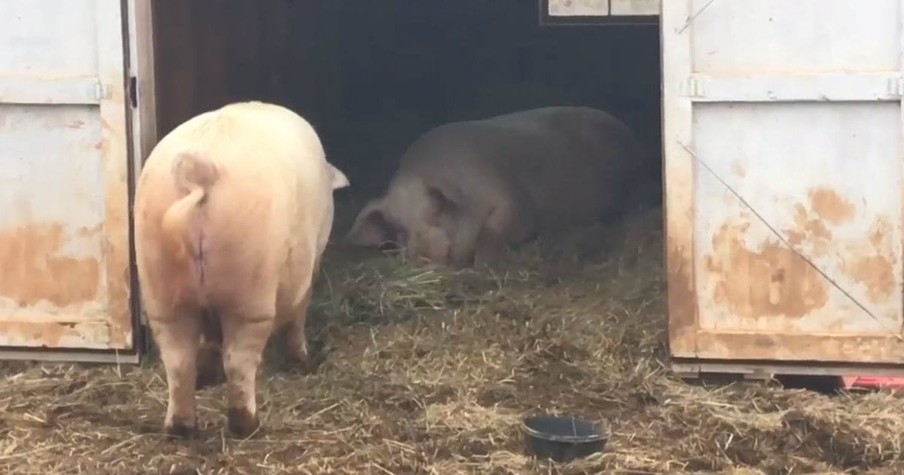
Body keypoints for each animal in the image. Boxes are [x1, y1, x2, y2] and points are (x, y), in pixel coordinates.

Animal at [342, 107, 660, 268]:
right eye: (399, 228)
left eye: (437, 207)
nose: (424, 254)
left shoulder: (515, 201)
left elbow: (491, 233)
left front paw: (483, 262)